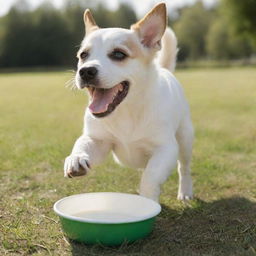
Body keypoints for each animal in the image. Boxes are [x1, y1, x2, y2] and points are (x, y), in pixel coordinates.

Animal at [64, 2, 194, 202]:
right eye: (83, 55)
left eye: (119, 54)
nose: (85, 71)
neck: (126, 111)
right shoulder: (98, 141)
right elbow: (82, 143)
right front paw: (76, 158)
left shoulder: (166, 149)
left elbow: (150, 177)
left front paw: (148, 201)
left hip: (185, 139)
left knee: (184, 167)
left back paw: (185, 191)